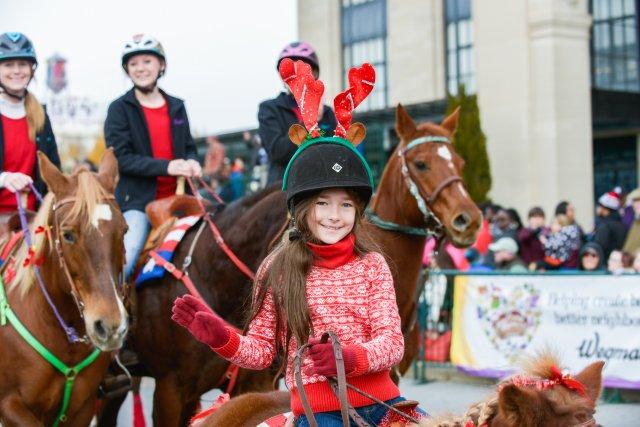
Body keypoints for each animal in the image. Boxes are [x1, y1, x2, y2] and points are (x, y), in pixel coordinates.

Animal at [97, 104, 480, 427]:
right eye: (421, 163)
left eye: (461, 163)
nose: (469, 220)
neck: (214, 274)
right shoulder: (171, 390)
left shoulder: (253, 383)